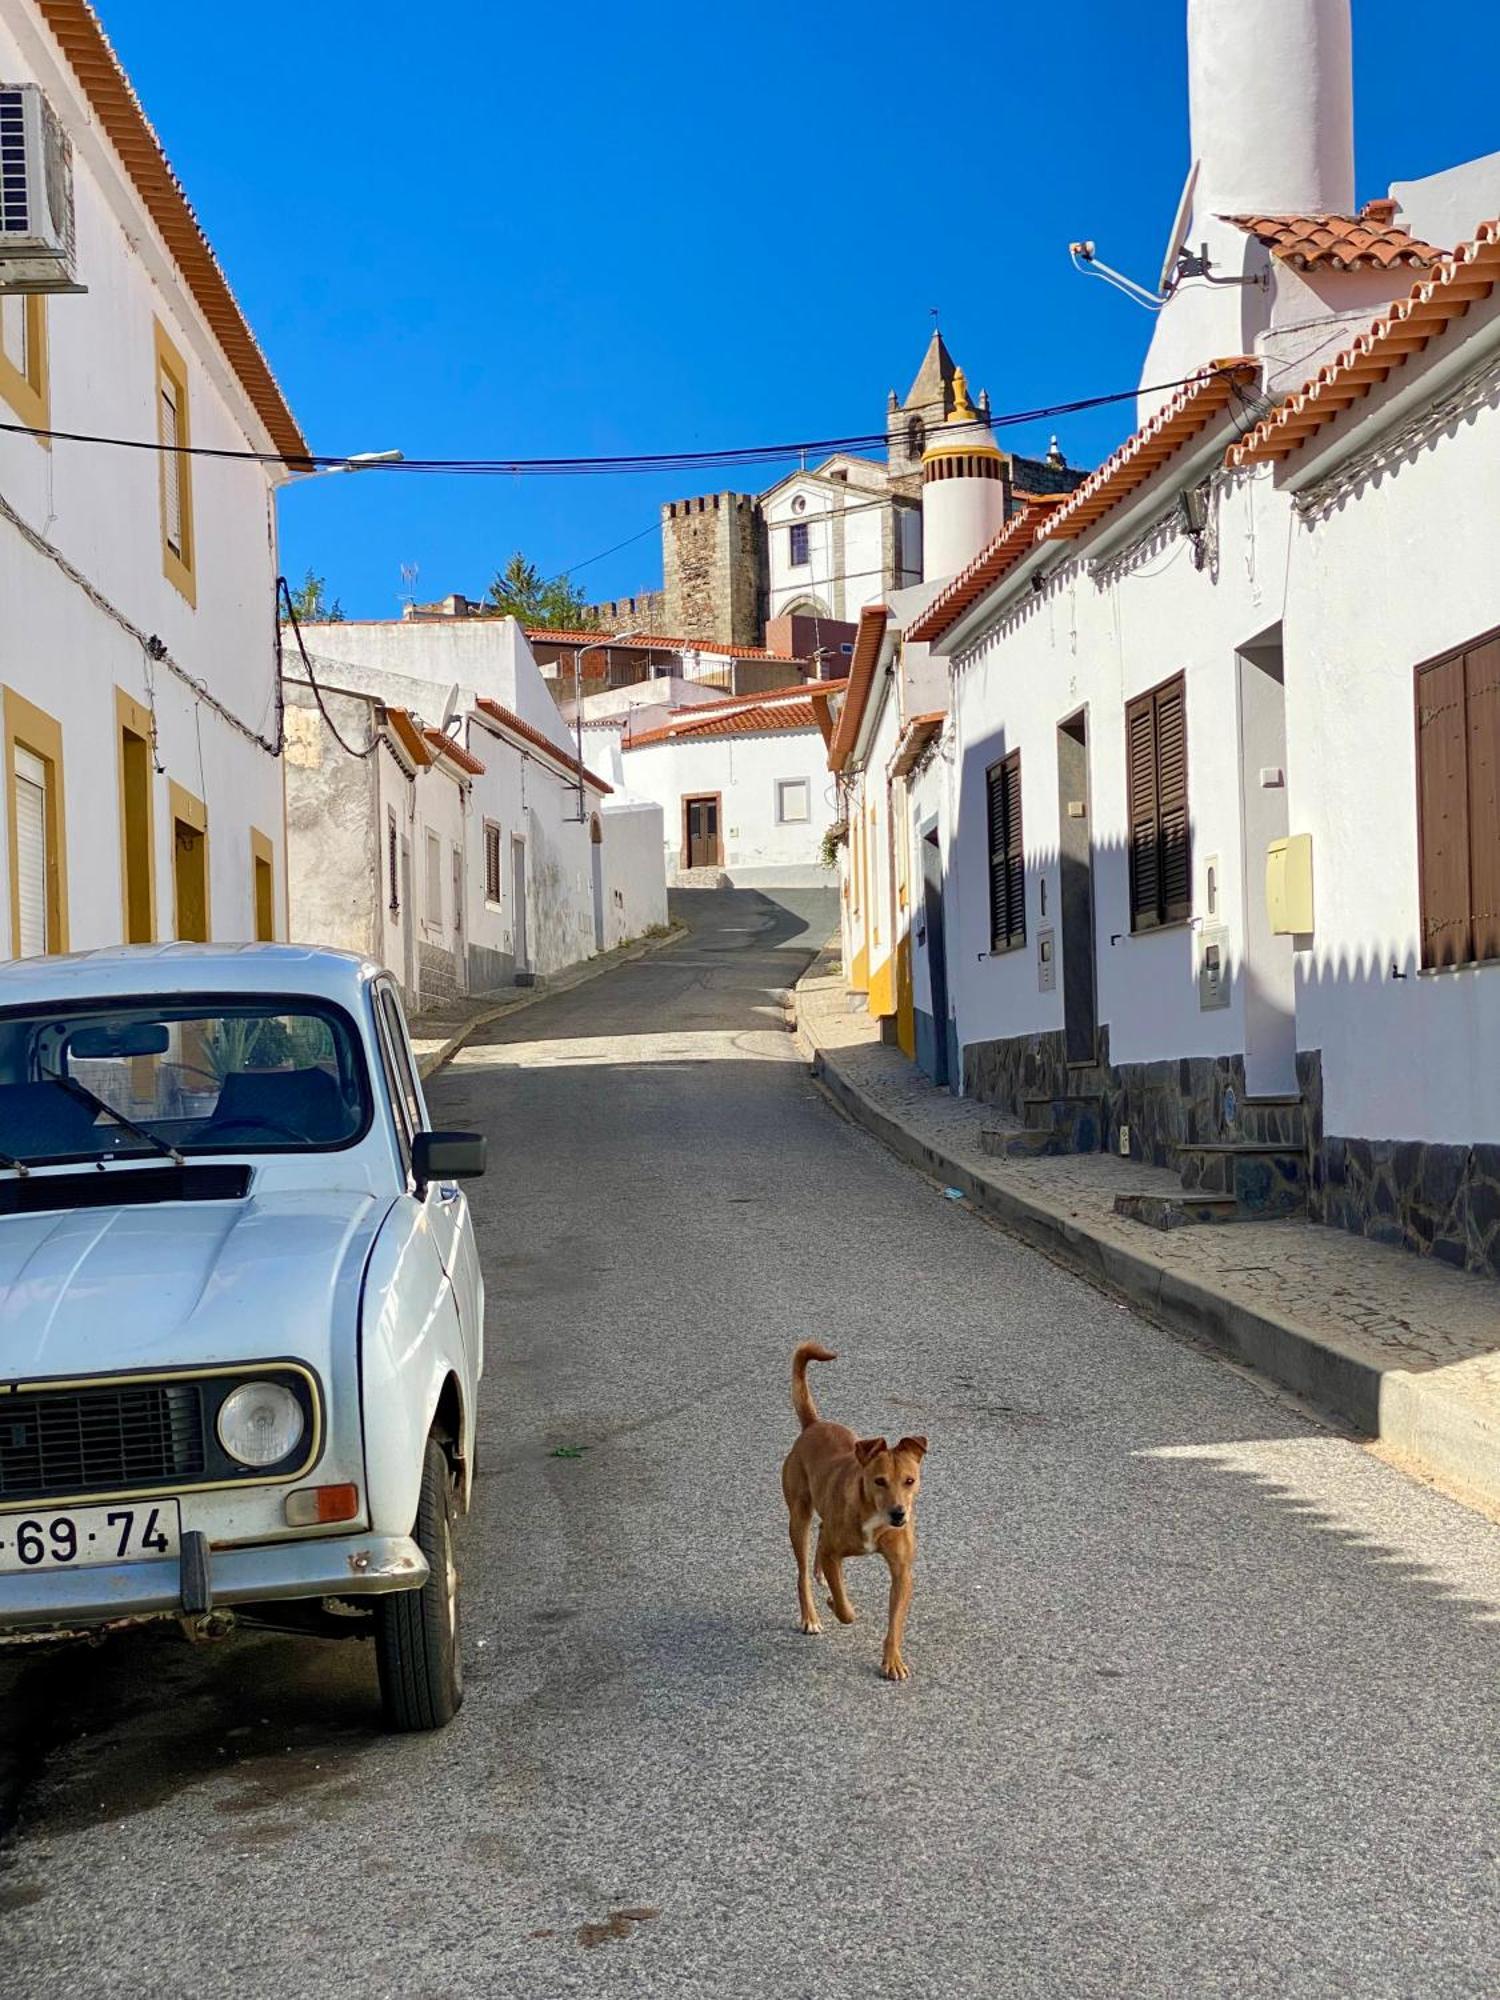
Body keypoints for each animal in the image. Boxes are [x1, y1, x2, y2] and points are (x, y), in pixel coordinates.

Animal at [788, 1344, 928, 1672]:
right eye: (879, 1481)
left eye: (909, 1480)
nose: (898, 1513)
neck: (874, 1518)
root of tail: (813, 1425)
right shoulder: (832, 1554)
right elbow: (843, 1606)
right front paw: (834, 1604)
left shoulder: (902, 1571)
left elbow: (895, 1621)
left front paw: (893, 1661)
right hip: (798, 1517)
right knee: (803, 1572)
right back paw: (811, 1616)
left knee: (822, 1533)